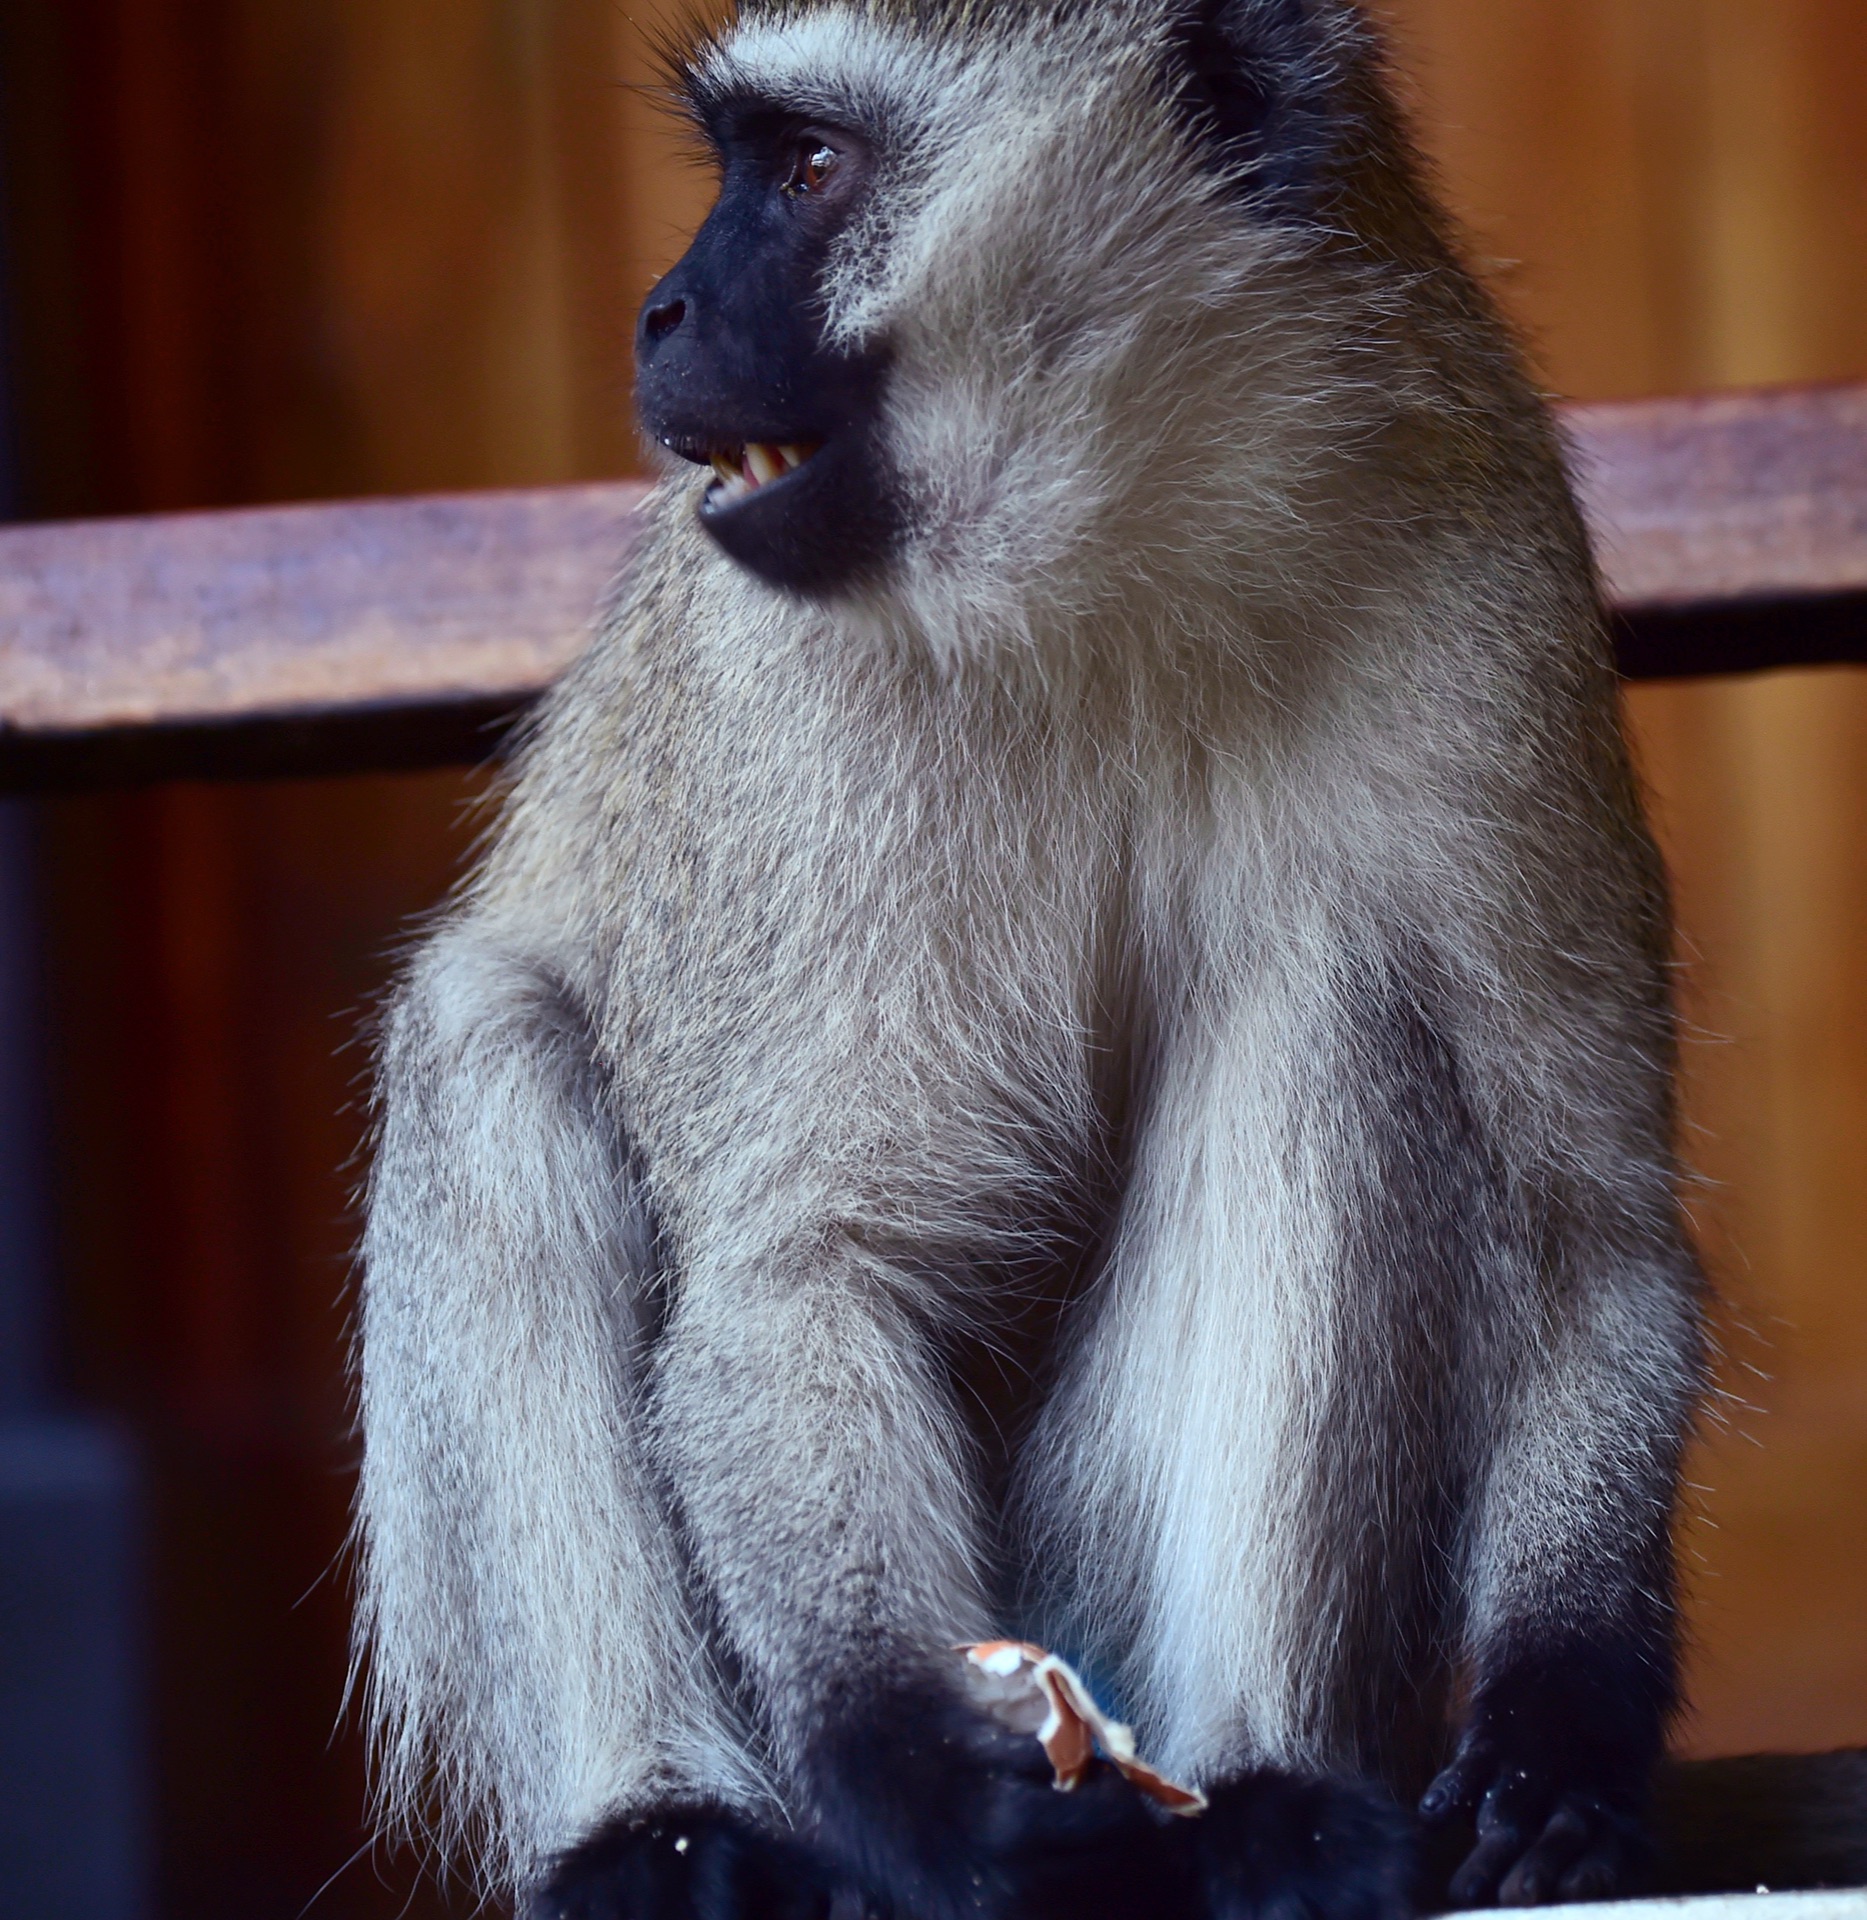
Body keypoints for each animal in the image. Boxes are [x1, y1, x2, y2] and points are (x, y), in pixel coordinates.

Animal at [345, 3, 1851, 1920]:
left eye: (810, 168)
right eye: (754, 162)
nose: (662, 311)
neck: (1108, 554)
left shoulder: (1489, 583)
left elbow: (1591, 1231)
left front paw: (1553, 1727)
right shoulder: (792, 694)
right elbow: (803, 1269)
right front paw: (923, 1776)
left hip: (1085, 1581)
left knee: (1314, 1009)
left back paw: (1267, 1786)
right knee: (488, 1041)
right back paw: (657, 1833)